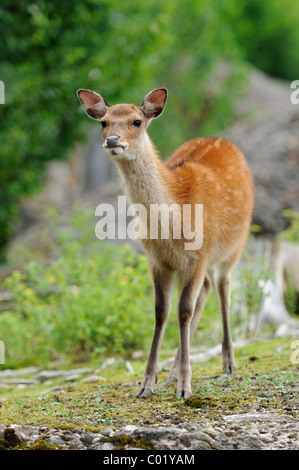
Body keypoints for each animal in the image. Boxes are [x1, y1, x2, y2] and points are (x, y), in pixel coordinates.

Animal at [77, 86, 255, 398]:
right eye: (103, 123)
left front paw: (185, 386)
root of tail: (222, 140)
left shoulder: (199, 255)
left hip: (233, 247)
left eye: (137, 121)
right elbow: (161, 311)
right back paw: (172, 372)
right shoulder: (157, 259)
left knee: (223, 288)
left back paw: (229, 363)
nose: (112, 140)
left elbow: (183, 310)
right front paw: (147, 383)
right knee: (206, 289)